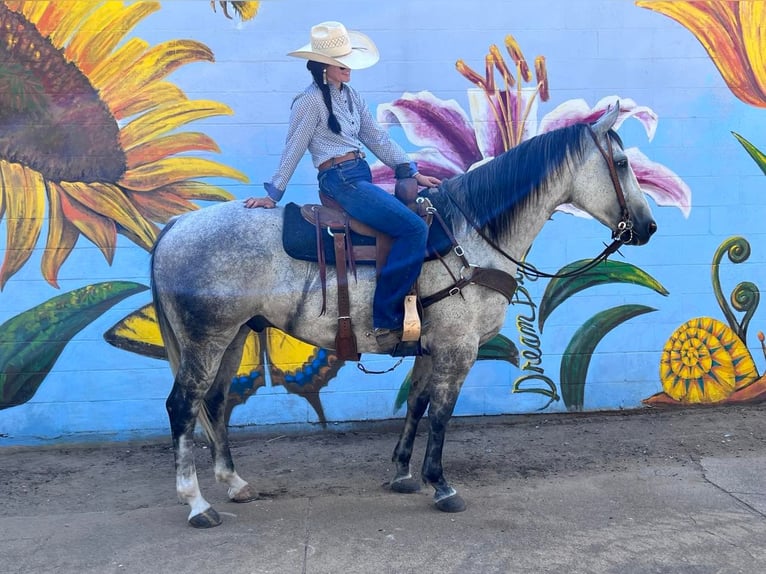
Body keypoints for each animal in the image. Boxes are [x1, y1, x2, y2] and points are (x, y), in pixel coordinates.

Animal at [150, 106, 660, 528]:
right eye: (620, 163)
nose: (648, 227)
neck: (469, 238)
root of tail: (176, 225)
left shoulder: (429, 348)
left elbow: (416, 404)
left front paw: (402, 472)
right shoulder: (458, 348)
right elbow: (441, 414)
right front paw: (441, 484)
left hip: (234, 335)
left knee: (215, 402)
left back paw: (235, 484)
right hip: (206, 340)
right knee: (182, 406)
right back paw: (197, 503)